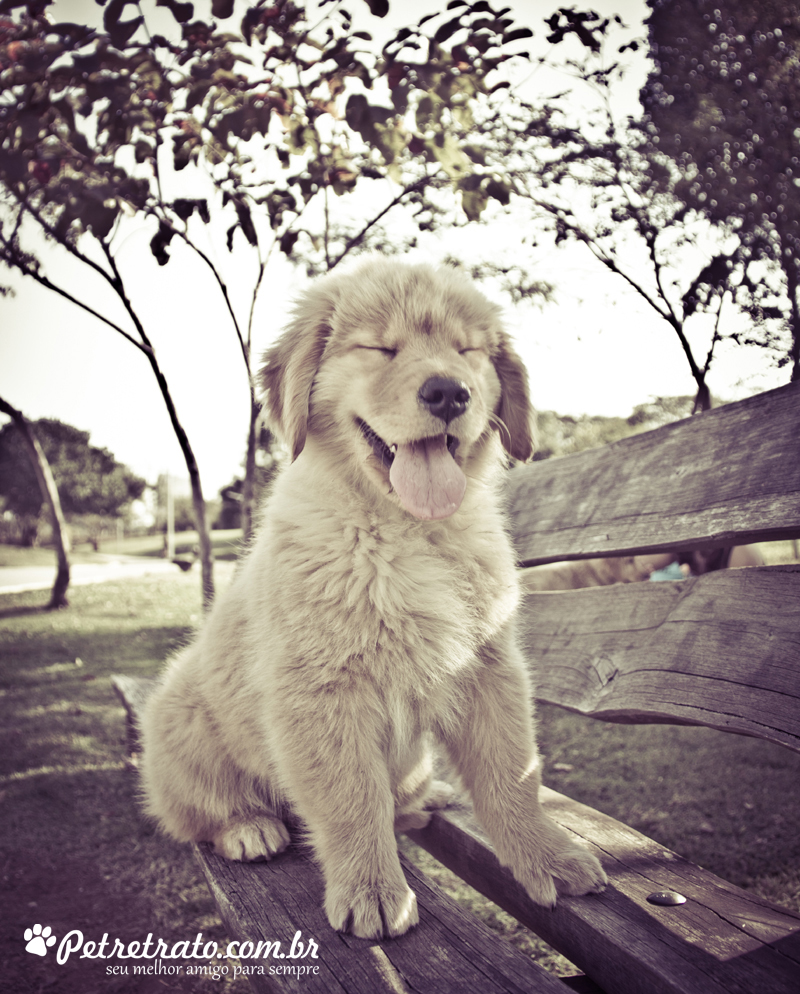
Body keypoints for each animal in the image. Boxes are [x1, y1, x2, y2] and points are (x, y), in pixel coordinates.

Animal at [142, 256, 608, 936]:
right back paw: (248, 828)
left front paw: (547, 854)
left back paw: (421, 798)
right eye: (380, 349)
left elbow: (511, 774)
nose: (449, 393)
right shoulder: (320, 688)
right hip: (178, 717)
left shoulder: (489, 667)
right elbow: (350, 797)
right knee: (195, 812)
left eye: (467, 352)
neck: (407, 531)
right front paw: (371, 889)